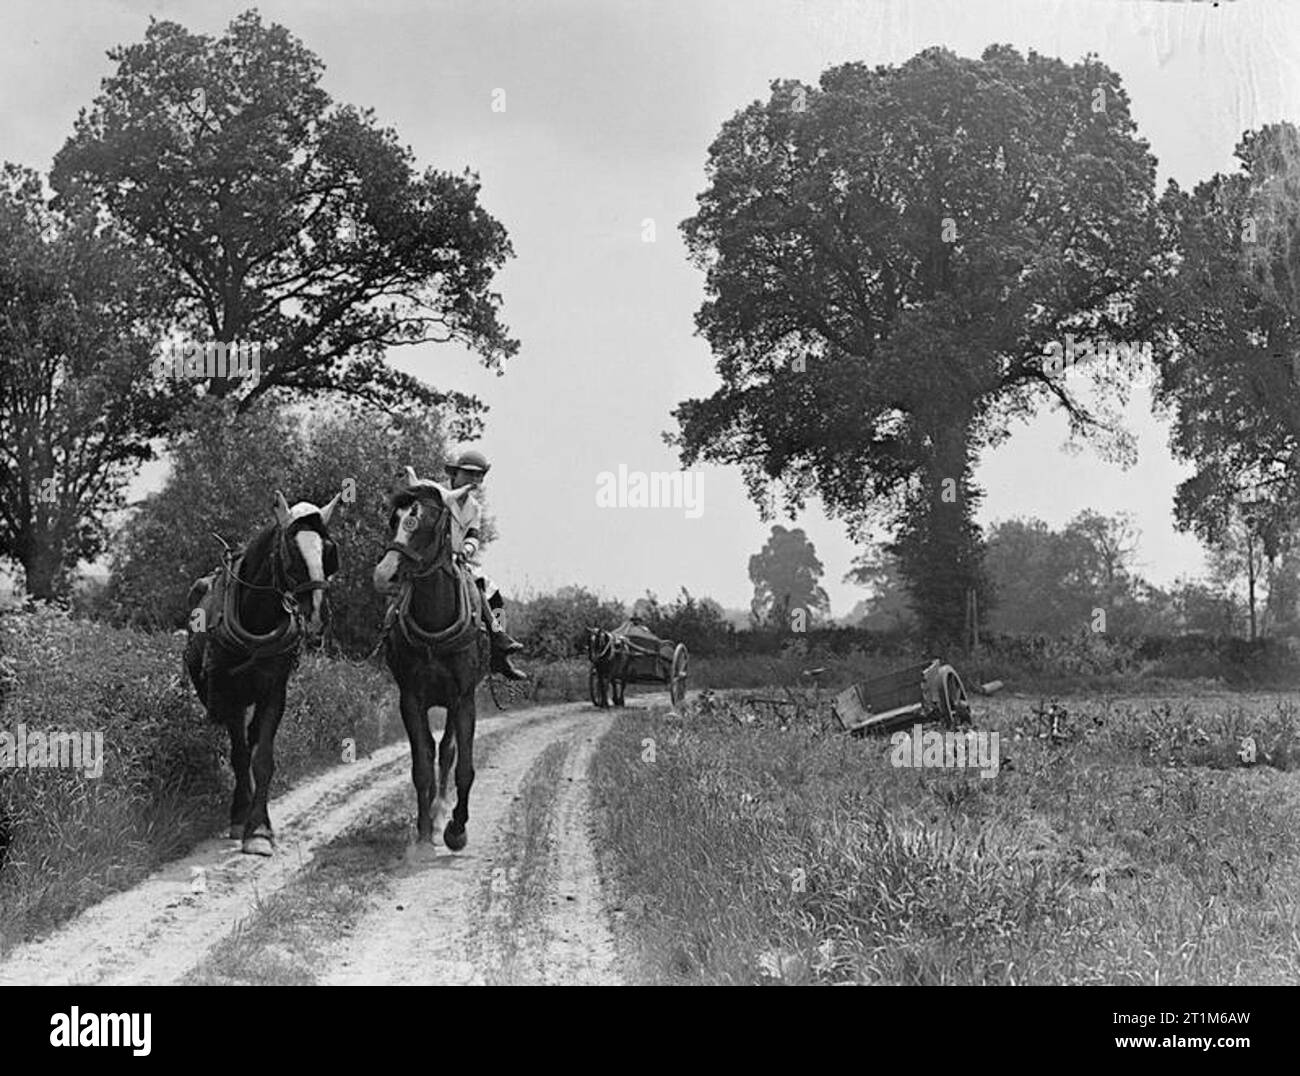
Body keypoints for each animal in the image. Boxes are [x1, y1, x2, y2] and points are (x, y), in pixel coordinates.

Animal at [187, 488, 345, 857]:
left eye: (329, 551)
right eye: (291, 553)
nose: (316, 619)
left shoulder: (275, 689)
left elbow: (263, 757)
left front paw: (259, 829)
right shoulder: (229, 691)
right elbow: (241, 754)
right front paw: (243, 818)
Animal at [374, 467, 488, 852]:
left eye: (424, 522)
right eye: (394, 519)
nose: (385, 574)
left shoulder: (464, 699)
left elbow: (464, 766)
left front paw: (456, 829)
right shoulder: (411, 699)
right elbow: (420, 766)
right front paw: (424, 831)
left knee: (449, 752)